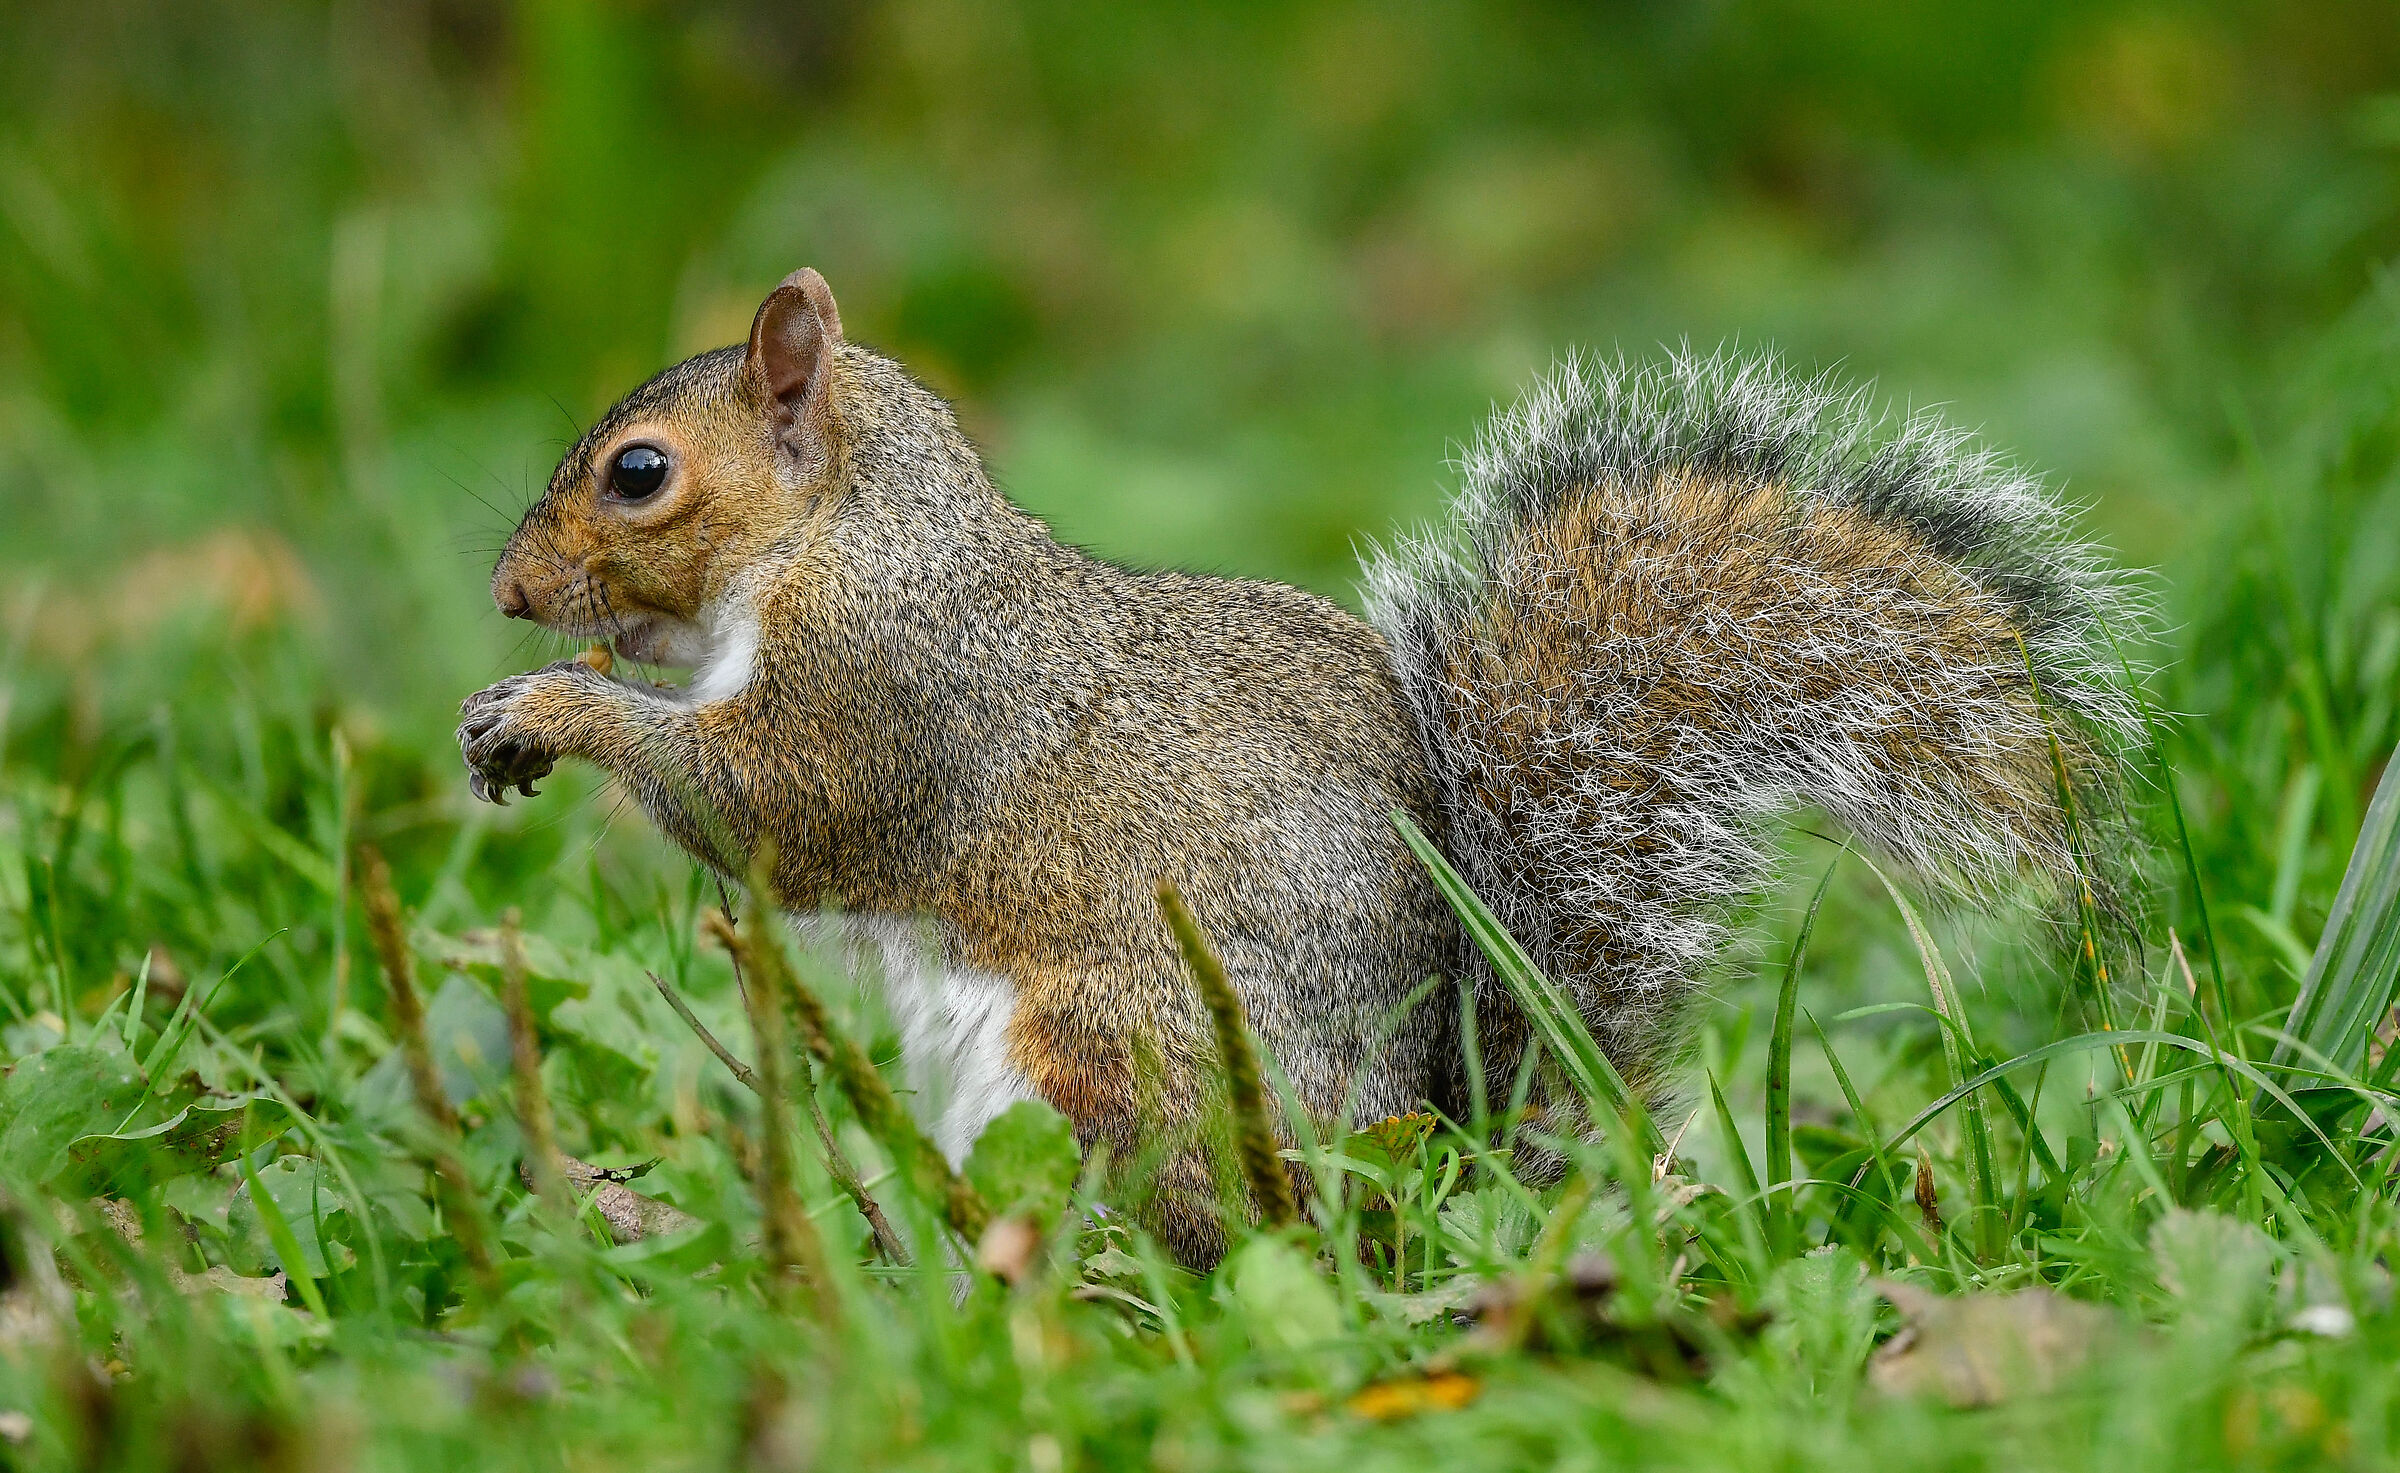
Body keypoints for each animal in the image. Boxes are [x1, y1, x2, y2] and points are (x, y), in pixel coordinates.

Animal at [460, 268, 2143, 1264]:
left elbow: (762, 810)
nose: (508, 589)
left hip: (1107, 1069)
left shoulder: (889, 695)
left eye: (640, 473)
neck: (847, 529)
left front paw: (553, 709)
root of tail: (1417, 1186)